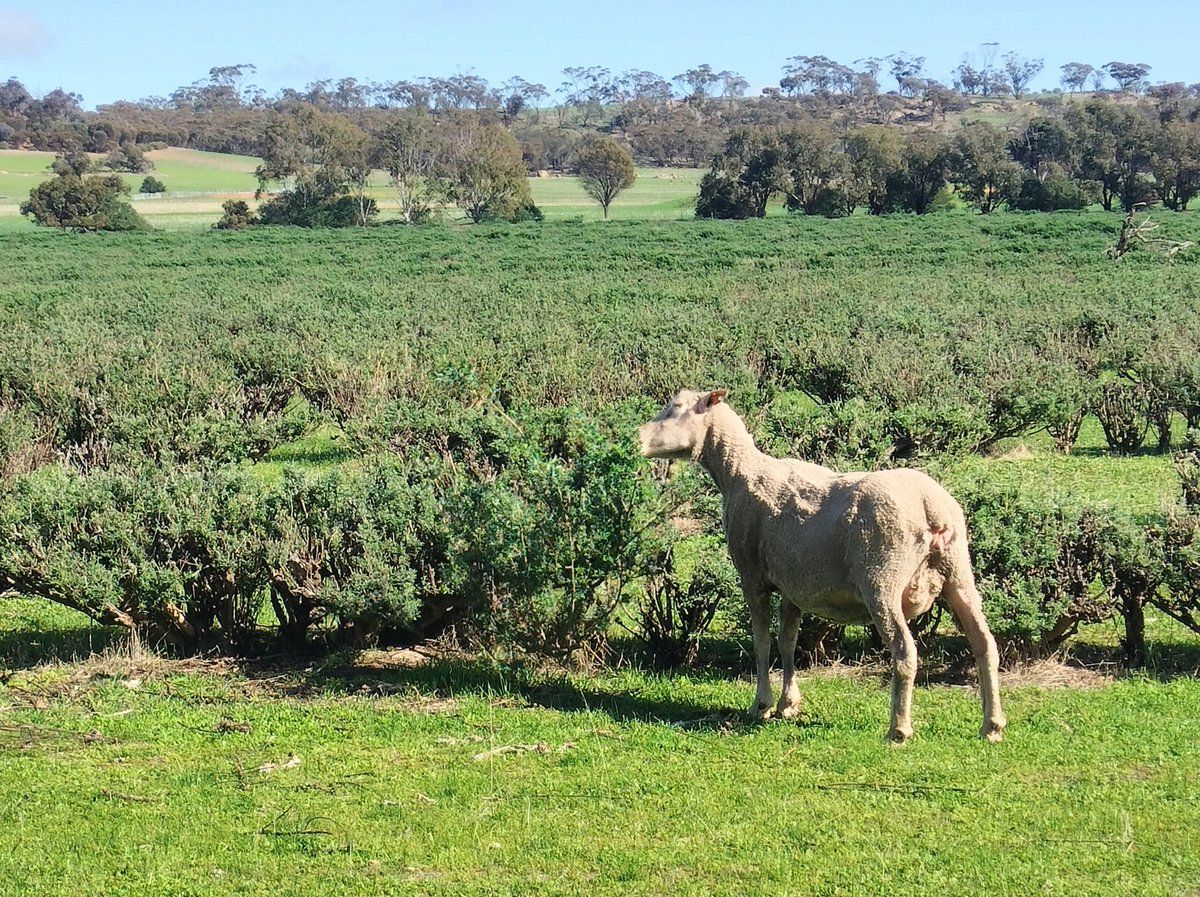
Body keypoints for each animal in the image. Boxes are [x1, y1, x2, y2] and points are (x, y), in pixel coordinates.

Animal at [638, 389, 1006, 743]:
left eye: (676, 407)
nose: (638, 436)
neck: (739, 472)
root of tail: (934, 509)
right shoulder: (791, 585)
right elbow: (787, 640)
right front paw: (789, 703)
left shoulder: (752, 576)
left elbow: (761, 641)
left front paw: (762, 704)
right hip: (959, 573)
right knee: (985, 644)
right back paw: (992, 725)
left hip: (882, 580)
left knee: (904, 651)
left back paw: (899, 728)